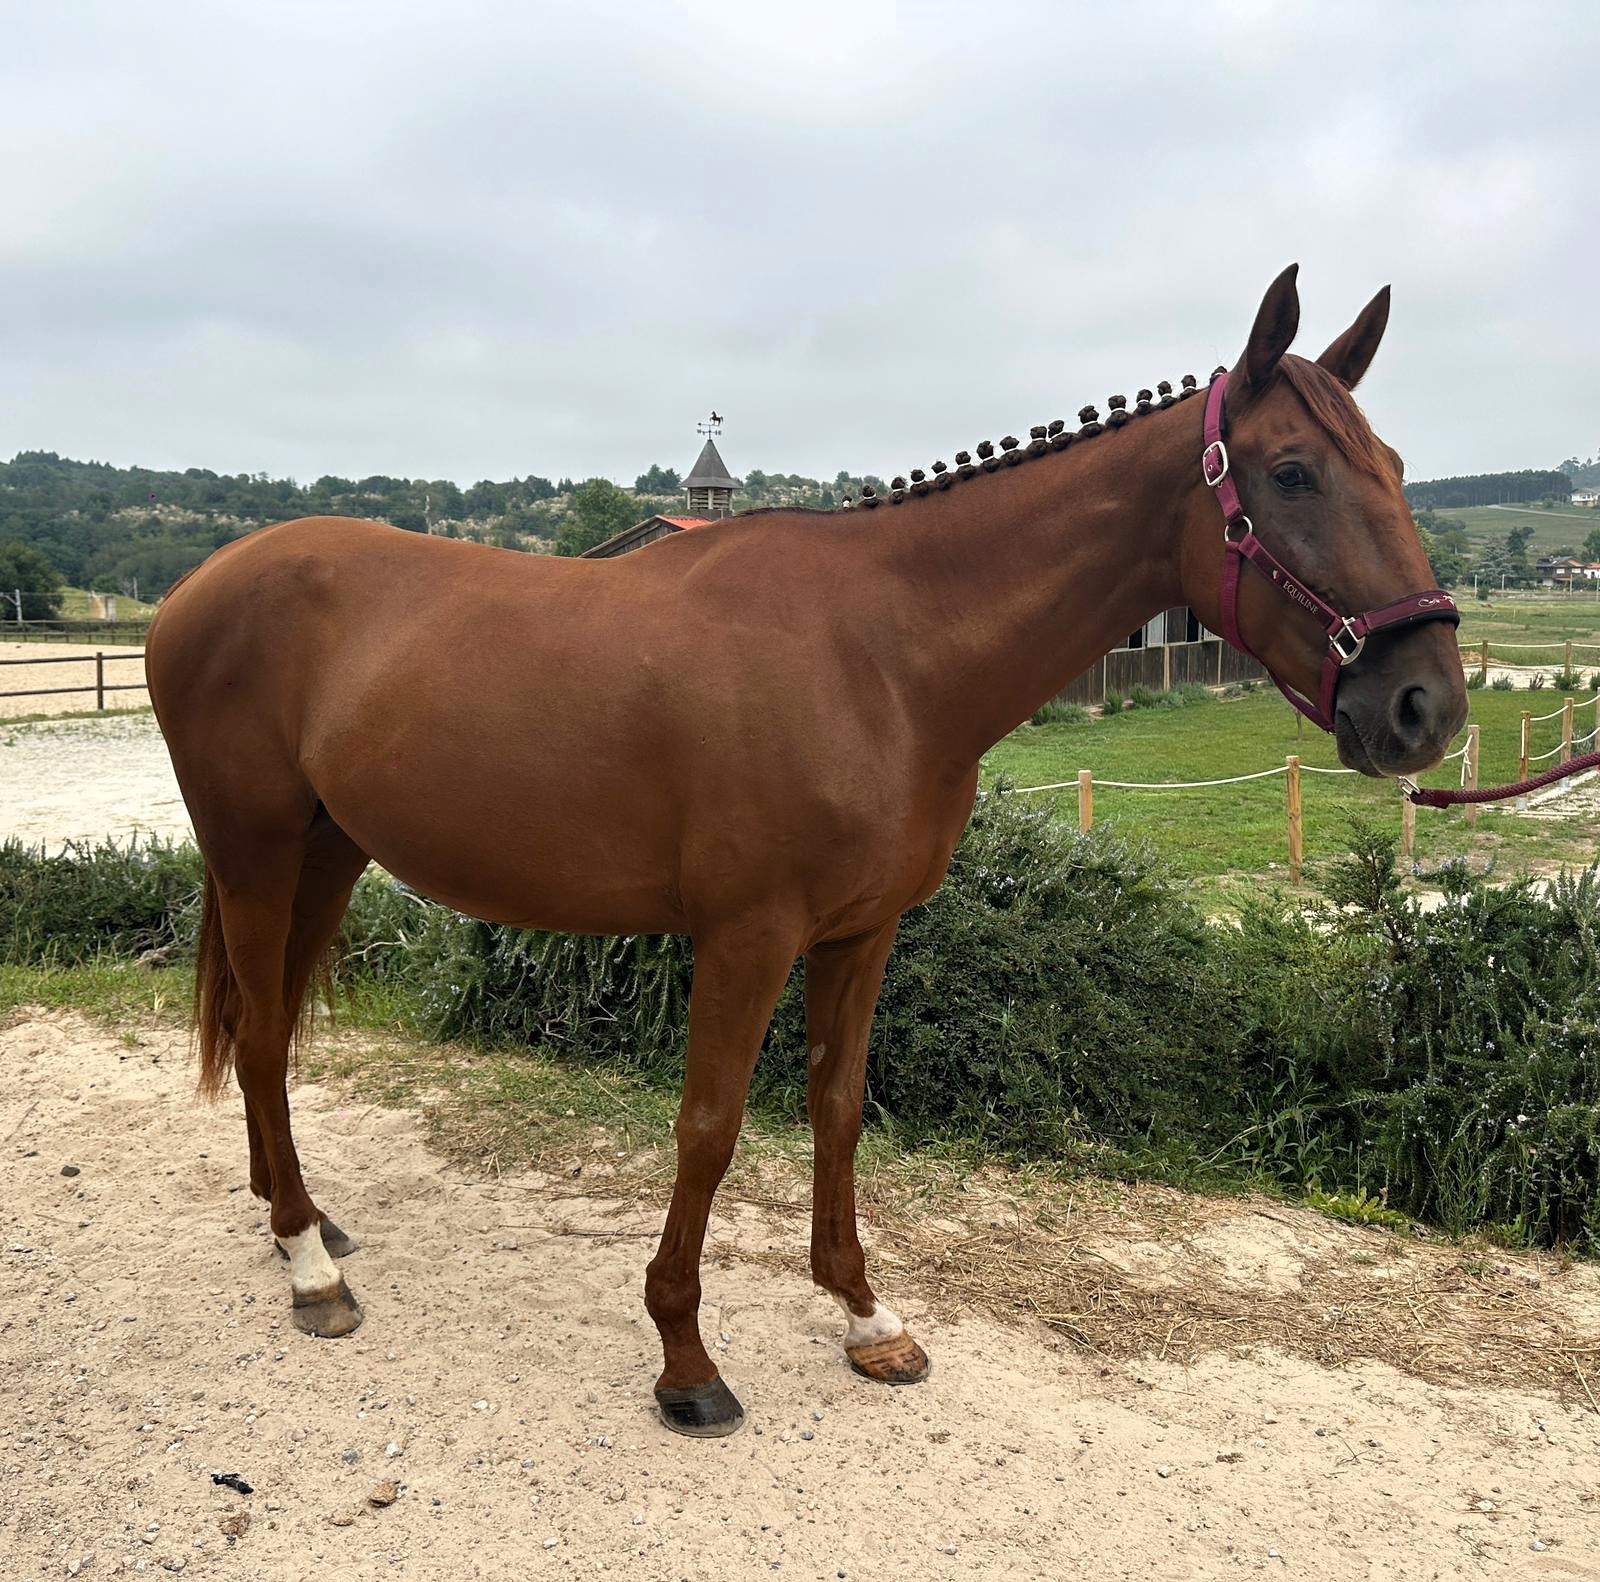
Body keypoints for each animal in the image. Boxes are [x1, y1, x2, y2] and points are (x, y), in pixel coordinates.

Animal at [144, 266, 1467, 1437]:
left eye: (1397, 470)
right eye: (1292, 473)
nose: (1424, 706)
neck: (880, 655)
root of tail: (196, 586)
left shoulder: (862, 931)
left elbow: (836, 1106)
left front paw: (864, 1314)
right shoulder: (749, 934)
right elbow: (710, 1125)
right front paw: (685, 1360)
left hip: (326, 856)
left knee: (272, 1029)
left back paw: (302, 1221)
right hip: (255, 850)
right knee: (259, 1039)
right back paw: (310, 1268)